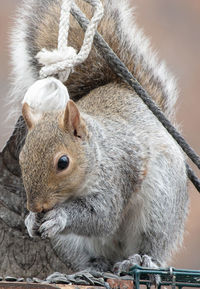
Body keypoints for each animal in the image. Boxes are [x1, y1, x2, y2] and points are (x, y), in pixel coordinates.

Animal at [10, 0, 189, 272]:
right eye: (22, 158)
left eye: (63, 162)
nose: (36, 207)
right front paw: (31, 220)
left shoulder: (117, 175)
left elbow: (102, 217)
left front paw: (60, 216)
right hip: (72, 244)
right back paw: (95, 266)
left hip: (161, 207)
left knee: (152, 244)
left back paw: (141, 259)